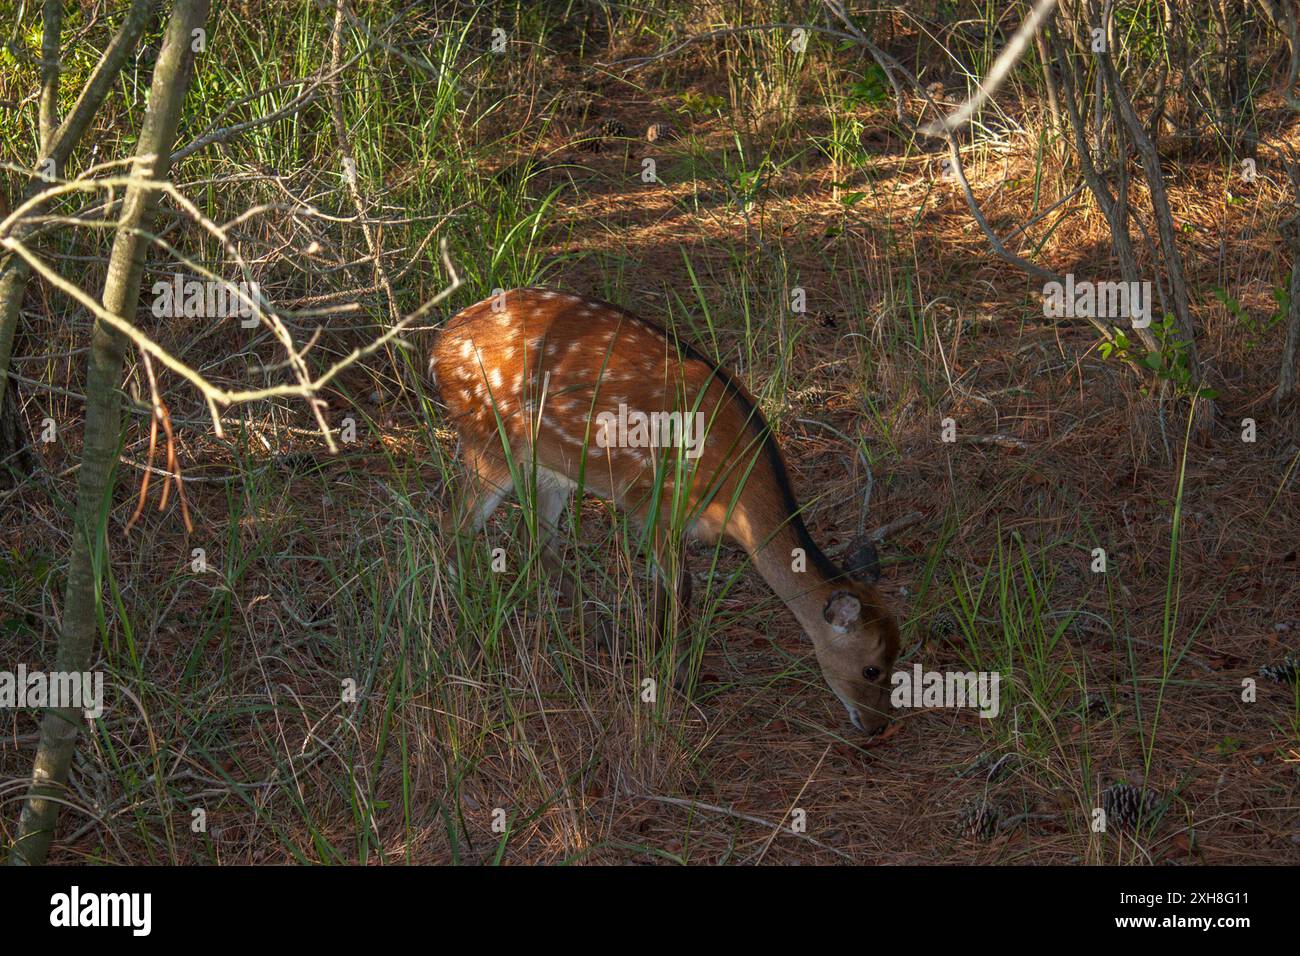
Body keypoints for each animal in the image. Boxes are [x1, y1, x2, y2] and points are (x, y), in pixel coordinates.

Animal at [431, 287, 899, 738]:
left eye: (899, 655)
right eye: (871, 668)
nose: (878, 727)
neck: (736, 499)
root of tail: (439, 347)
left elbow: (668, 585)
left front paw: (657, 658)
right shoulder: (653, 500)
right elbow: (678, 586)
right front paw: (675, 677)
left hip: (552, 466)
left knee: (536, 539)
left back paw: (602, 631)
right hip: (487, 439)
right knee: (453, 527)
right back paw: (467, 634)